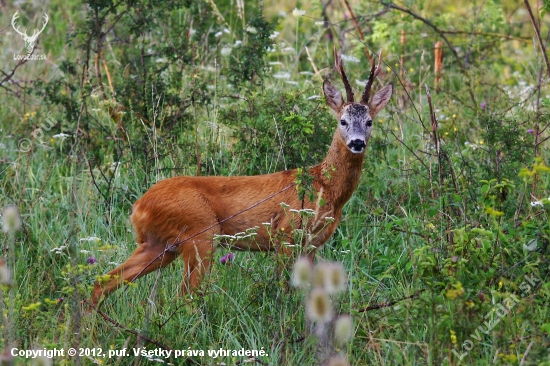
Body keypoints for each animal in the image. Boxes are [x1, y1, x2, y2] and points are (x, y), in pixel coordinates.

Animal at [91, 48, 392, 306]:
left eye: (369, 122)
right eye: (342, 121)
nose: (357, 143)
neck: (324, 187)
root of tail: (138, 207)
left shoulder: (312, 245)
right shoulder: (286, 234)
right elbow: (284, 290)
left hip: (159, 244)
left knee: (103, 282)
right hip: (200, 235)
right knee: (185, 296)